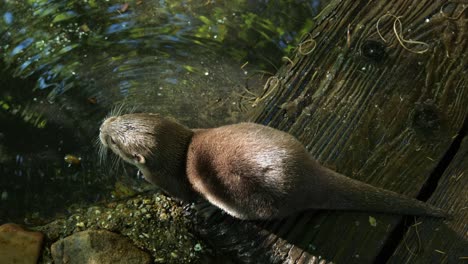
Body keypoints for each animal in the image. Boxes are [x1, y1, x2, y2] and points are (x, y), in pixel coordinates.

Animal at [99, 112, 450, 220]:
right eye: (121, 116)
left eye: (114, 142)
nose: (102, 126)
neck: (183, 151)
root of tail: (310, 175)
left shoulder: (171, 182)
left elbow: (178, 195)